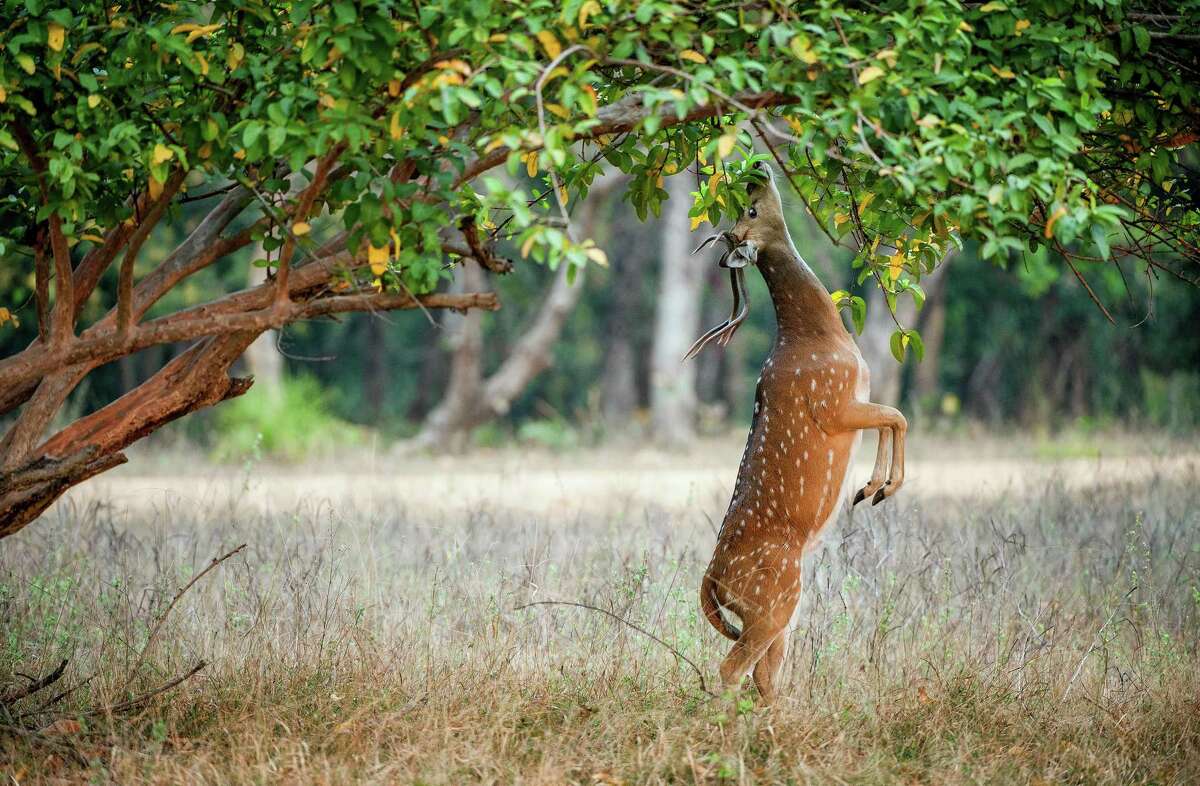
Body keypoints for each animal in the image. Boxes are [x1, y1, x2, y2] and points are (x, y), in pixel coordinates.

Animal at [689, 162, 907, 703]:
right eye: (751, 209)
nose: (756, 168)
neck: (819, 336)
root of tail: (712, 581)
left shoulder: (854, 398)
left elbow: (892, 416)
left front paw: (869, 487)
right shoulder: (832, 403)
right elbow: (896, 414)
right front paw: (880, 487)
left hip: (774, 613)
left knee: (764, 678)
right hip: (775, 600)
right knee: (730, 670)